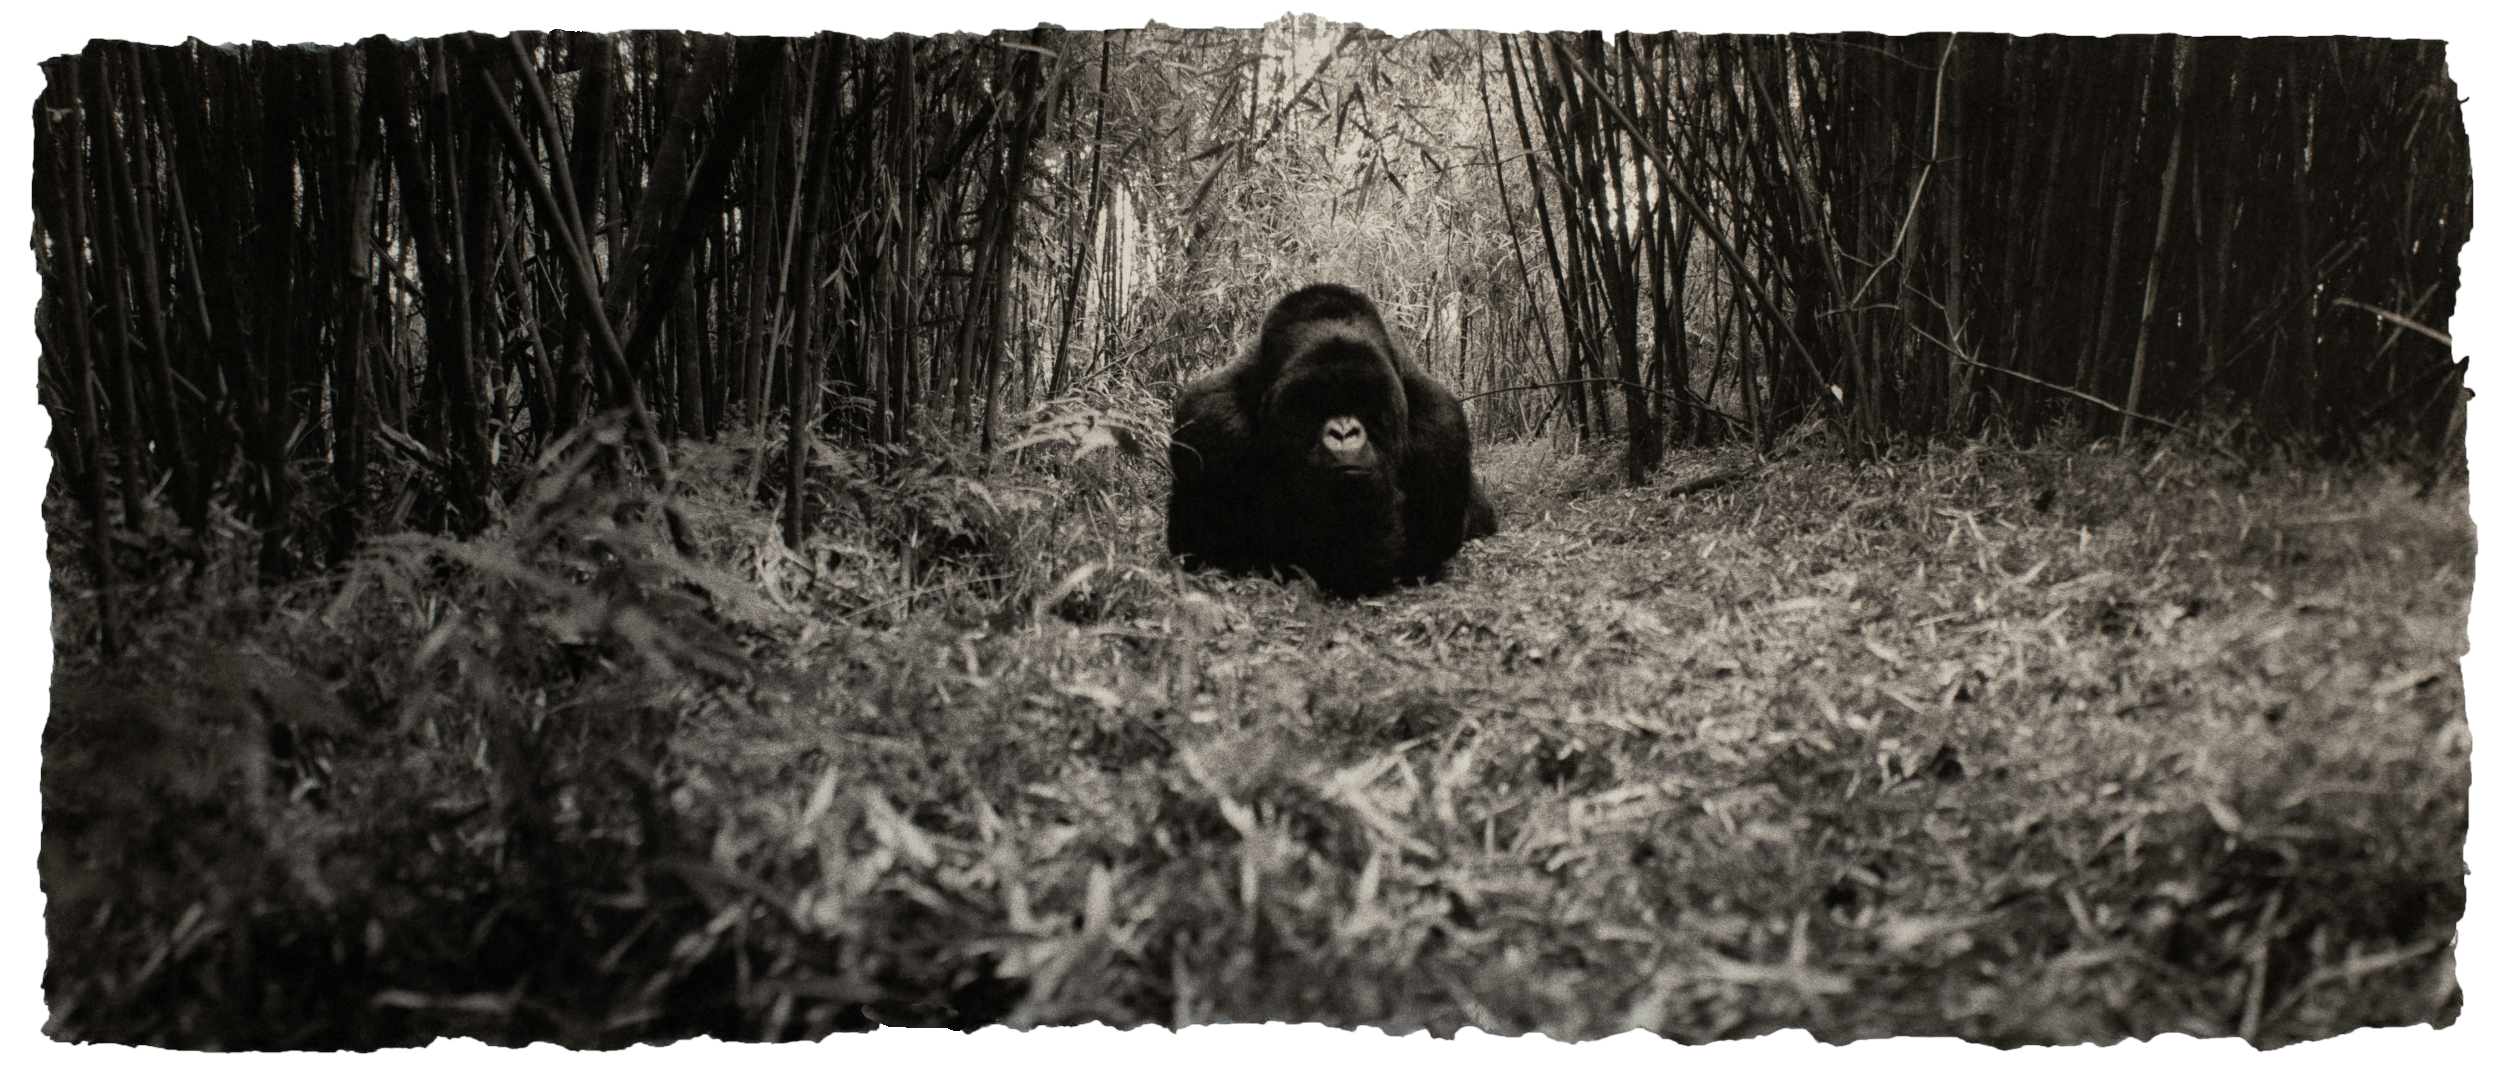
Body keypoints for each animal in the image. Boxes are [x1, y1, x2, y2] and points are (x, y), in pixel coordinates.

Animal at [1165, 284, 1490, 598]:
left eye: (1363, 398)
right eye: (1313, 401)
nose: (1344, 433)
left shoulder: (1442, 426)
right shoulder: (1208, 422)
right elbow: (1201, 554)